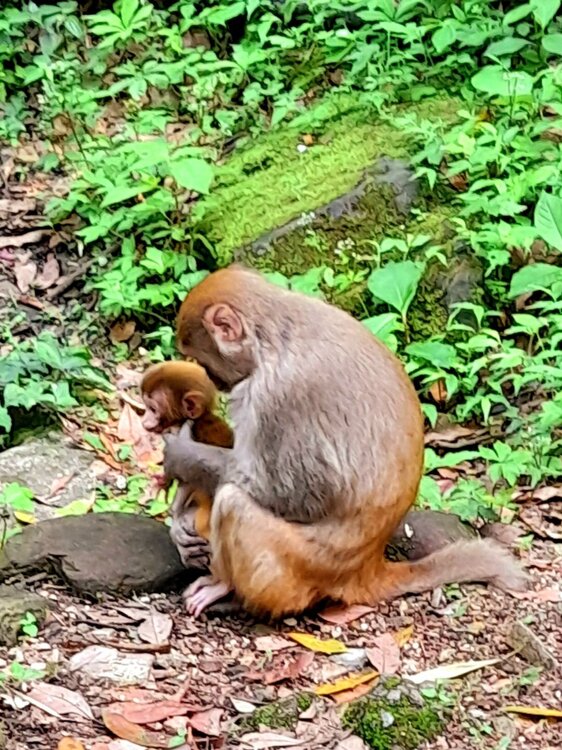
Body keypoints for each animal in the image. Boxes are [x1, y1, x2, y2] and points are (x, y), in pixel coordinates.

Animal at [162, 265, 528, 618]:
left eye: (201, 359)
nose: (212, 379)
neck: (274, 339)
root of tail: (366, 567)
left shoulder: (277, 396)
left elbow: (292, 493)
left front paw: (181, 456)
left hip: (305, 562)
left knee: (233, 502)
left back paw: (225, 589)